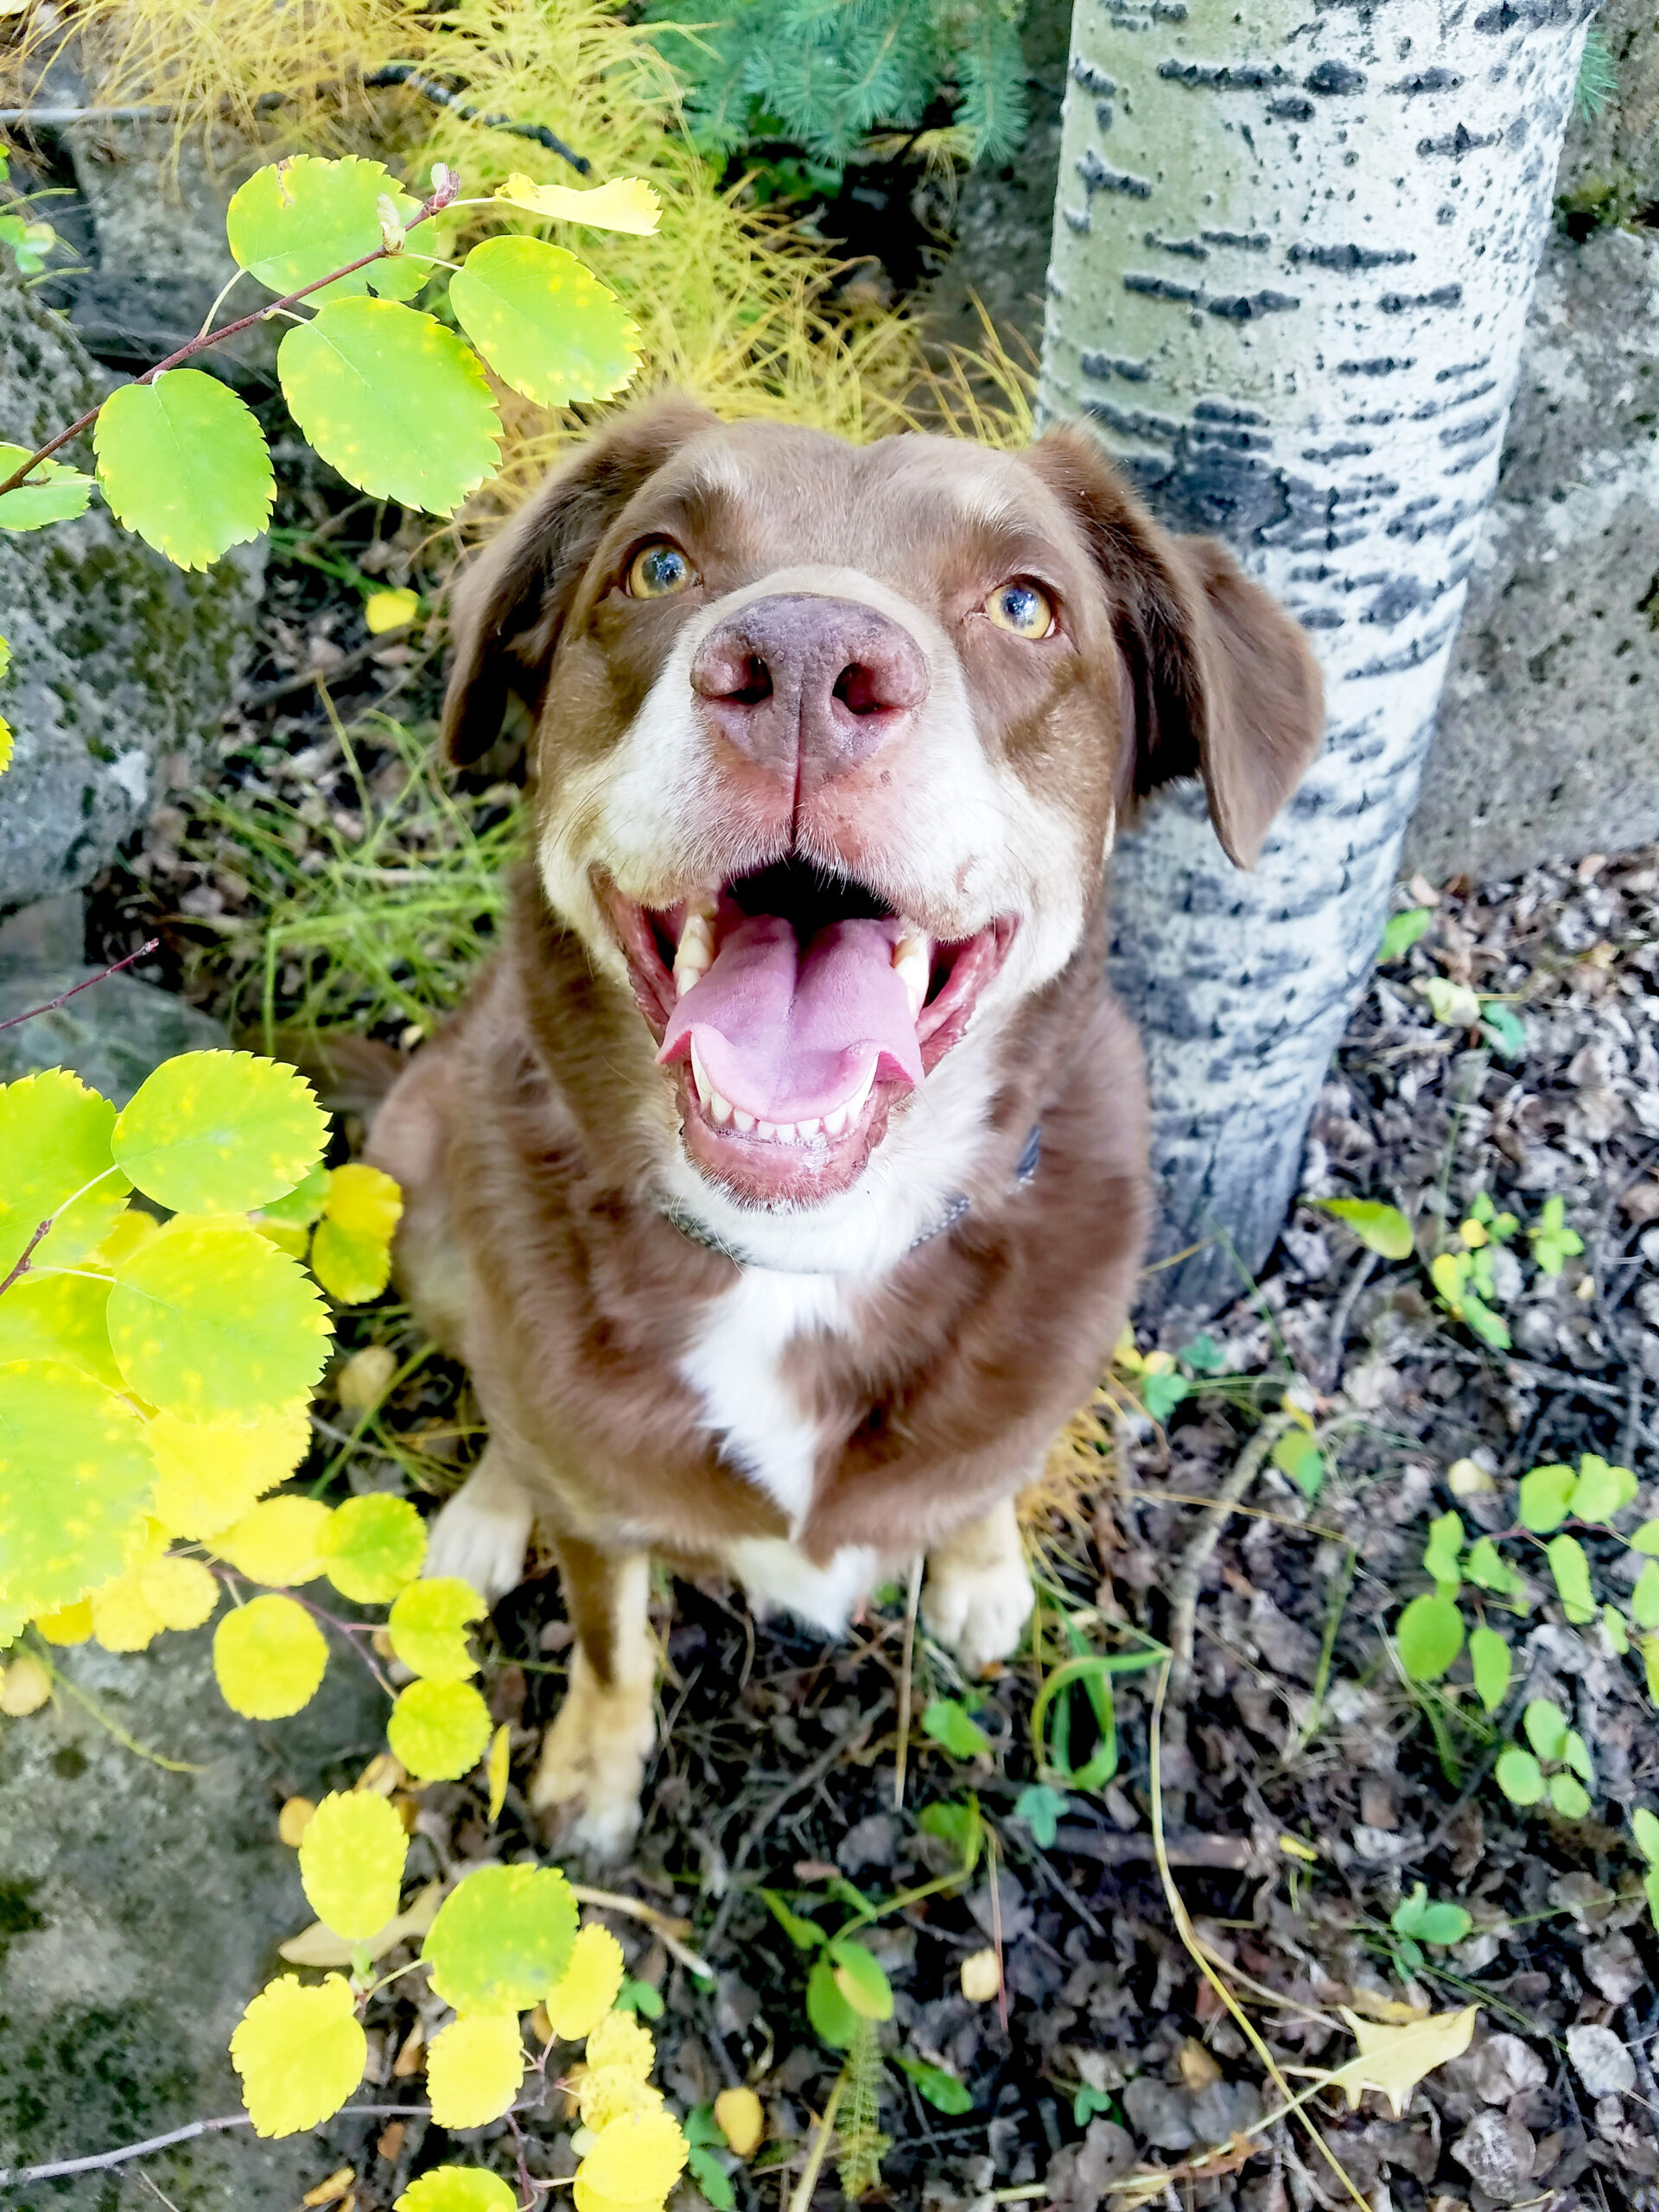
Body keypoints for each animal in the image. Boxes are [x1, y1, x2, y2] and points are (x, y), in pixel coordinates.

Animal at [366, 393, 1327, 1849]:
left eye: (1025, 604)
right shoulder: (591, 1488)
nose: (808, 661)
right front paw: (595, 1767)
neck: (803, 1255)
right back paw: (488, 1508)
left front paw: (979, 1568)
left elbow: (986, 1481)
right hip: (415, 1181)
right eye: (657, 565)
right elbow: (610, 1625)